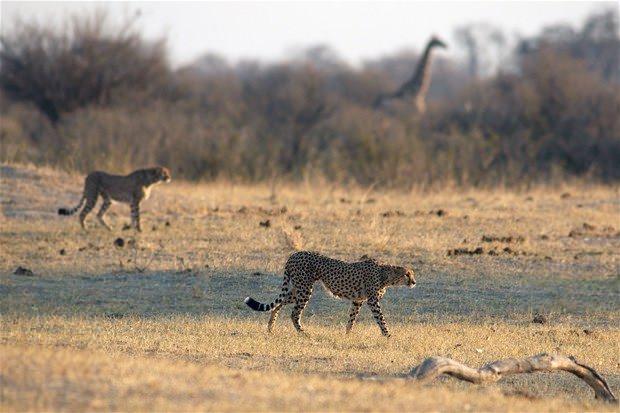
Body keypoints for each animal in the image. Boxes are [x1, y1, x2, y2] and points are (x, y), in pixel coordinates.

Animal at [246, 249, 416, 336]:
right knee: (294, 313)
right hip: (305, 289)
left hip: (298, 289)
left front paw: (347, 335)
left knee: (278, 304)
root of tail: (294, 254)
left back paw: (270, 328)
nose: (414, 282)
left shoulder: (358, 300)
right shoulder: (372, 301)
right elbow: (381, 319)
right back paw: (303, 333)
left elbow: (351, 319)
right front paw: (388, 335)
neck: (385, 274)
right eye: (407, 274)